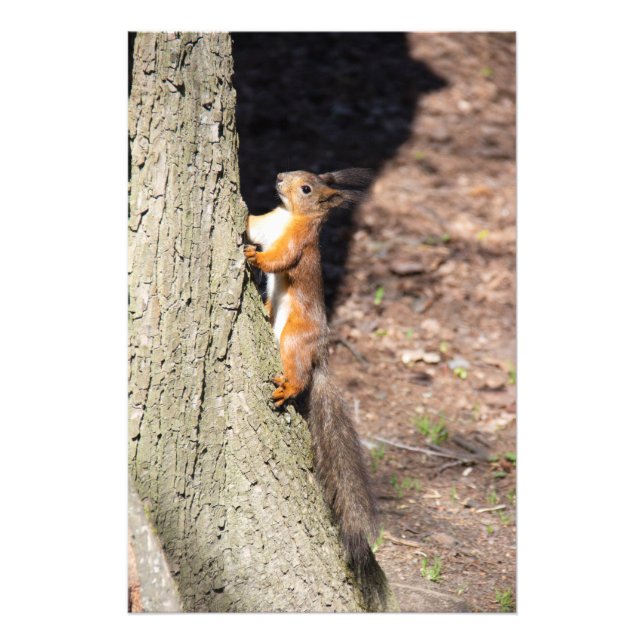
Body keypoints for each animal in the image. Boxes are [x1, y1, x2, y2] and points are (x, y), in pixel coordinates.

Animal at [244, 168, 388, 610]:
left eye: (307, 188)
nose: (279, 177)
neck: (288, 214)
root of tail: (320, 352)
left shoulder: (298, 243)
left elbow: (279, 259)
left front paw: (256, 260)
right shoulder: (264, 225)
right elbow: (251, 226)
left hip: (294, 338)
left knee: (300, 374)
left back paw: (288, 388)